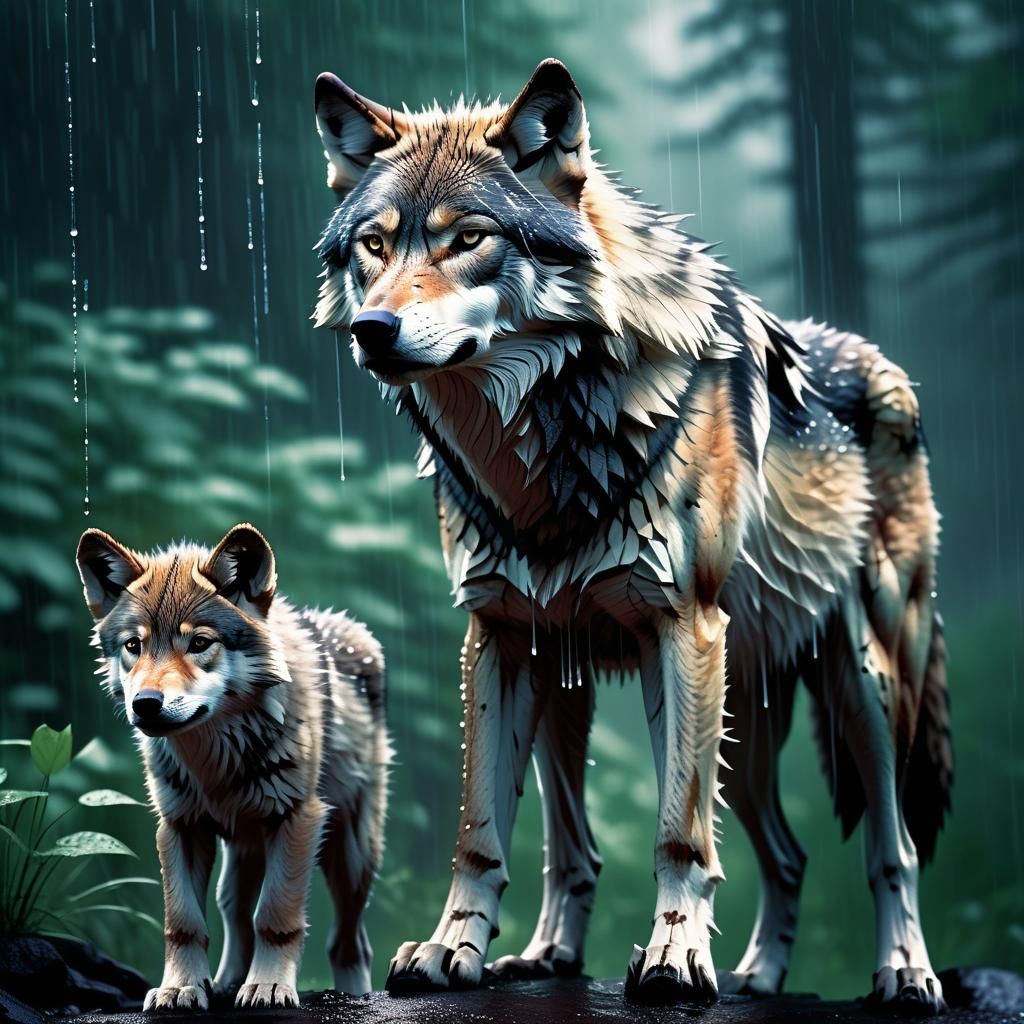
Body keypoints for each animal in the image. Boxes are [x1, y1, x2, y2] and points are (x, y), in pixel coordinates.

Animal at [75, 524, 389, 1009]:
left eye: (200, 643)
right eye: (134, 645)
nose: (145, 704)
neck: (214, 760)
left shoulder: (298, 819)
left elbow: (275, 916)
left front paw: (269, 987)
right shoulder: (180, 826)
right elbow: (184, 922)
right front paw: (181, 988)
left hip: (352, 857)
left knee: (348, 943)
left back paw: (350, 995)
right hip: (242, 853)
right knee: (235, 914)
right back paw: (224, 983)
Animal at [310, 60, 952, 1012]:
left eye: (469, 239)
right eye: (374, 247)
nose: (372, 330)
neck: (538, 450)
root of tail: (884, 366)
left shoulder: (682, 629)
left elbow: (678, 834)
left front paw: (676, 958)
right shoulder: (507, 635)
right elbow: (491, 832)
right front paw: (454, 950)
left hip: (859, 685)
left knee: (893, 848)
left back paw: (903, 970)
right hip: (722, 722)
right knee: (784, 854)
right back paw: (747, 976)